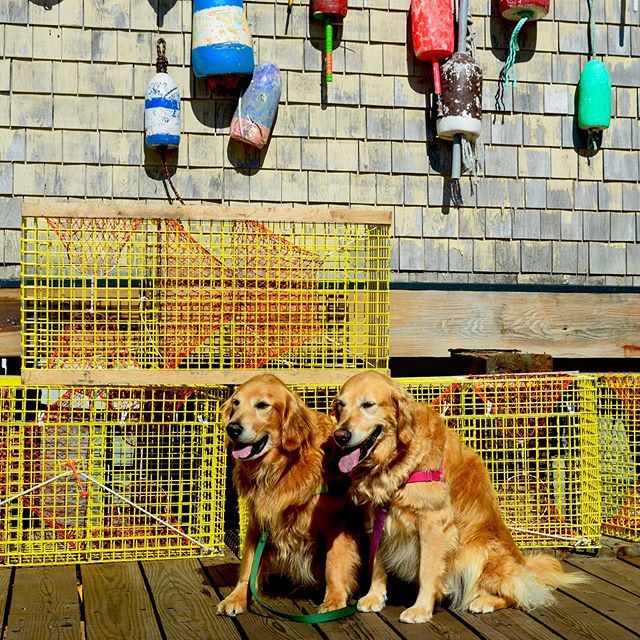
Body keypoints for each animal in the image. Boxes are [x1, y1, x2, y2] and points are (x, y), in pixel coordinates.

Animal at [218, 372, 362, 616]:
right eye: (236, 403)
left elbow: (334, 563)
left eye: (262, 405)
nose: (232, 428)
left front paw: (334, 600)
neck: (281, 469)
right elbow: (248, 566)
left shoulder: (337, 523)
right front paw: (236, 597)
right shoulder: (259, 521)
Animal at [332, 370, 584, 624]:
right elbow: (376, 561)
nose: (340, 436)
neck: (395, 459)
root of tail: (525, 566)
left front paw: (421, 609)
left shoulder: (433, 523)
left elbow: (427, 571)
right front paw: (374, 596)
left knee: (517, 593)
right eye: (340, 405)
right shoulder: (376, 516)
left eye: (368, 405)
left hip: (477, 552)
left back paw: (484, 601)